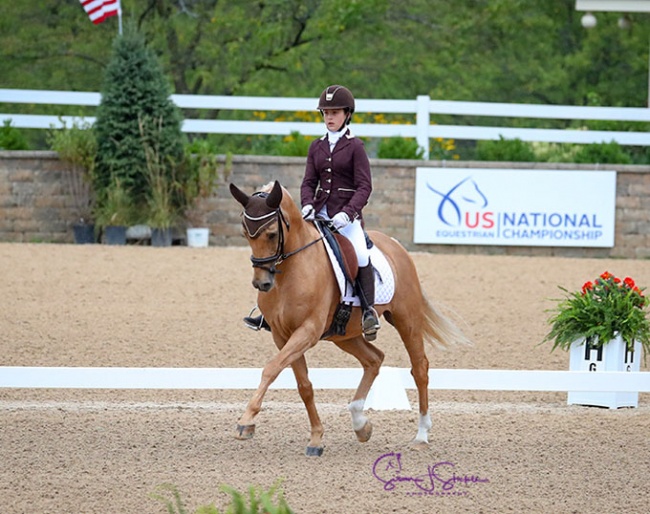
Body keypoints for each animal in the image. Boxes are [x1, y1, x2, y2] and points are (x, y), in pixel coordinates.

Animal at [228, 178, 466, 454]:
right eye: (246, 234)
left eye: (272, 234)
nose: (262, 283)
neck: (291, 270)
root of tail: (395, 244)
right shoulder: (282, 335)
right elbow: (304, 386)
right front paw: (316, 439)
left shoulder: (307, 331)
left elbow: (271, 369)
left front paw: (246, 421)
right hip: (344, 334)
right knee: (374, 359)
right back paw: (360, 423)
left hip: (407, 319)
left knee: (419, 368)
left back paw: (421, 434)